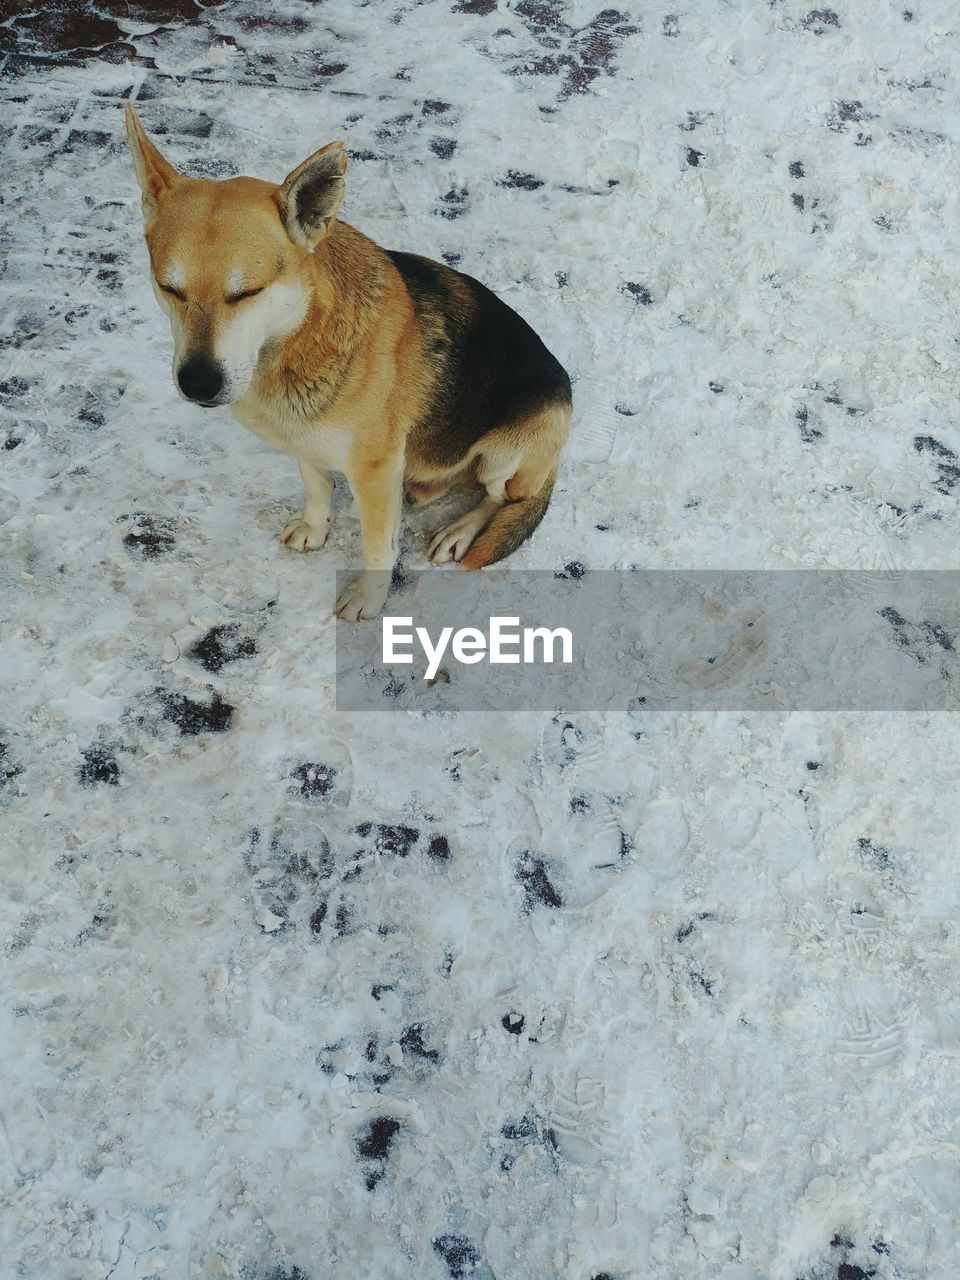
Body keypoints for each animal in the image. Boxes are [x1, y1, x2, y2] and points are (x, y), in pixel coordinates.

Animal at [120, 107, 570, 616]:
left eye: (247, 292)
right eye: (169, 288)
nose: (198, 383)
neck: (297, 340)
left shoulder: (372, 471)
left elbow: (377, 546)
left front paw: (368, 598)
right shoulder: (304, 439)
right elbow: (316, 487)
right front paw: (315, 527)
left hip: (507, 450)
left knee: (499, 498)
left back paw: (459, 530)